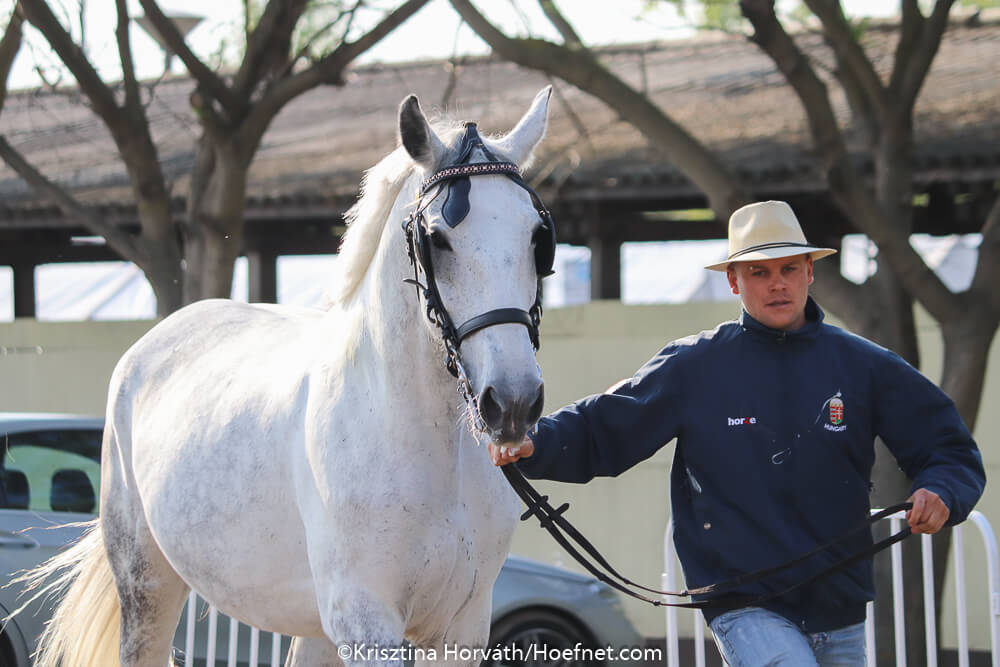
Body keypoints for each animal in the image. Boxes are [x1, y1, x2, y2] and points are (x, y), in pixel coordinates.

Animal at [21, 87, 556, 667]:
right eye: (437, 239)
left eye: (537, 238)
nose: (513, 401)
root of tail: (150, 344)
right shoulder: (366, 620)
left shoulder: (463, 625)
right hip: (146, 586)